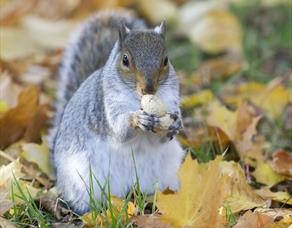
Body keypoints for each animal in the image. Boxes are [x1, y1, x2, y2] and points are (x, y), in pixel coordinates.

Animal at [49, 9, 184, 215]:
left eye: (166, 60)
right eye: (125, 60)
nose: (149, 89)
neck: (137, 100)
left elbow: (159, 139)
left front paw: (175, 124)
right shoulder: (107, 106)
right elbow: (120, 131)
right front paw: (136, 119)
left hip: (166, 172)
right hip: (81, 180)